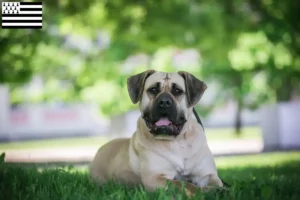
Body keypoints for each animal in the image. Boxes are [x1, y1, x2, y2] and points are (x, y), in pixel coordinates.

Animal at [90, 70, 224, 195]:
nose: (164, 102)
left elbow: (216, 184)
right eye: (153, 89)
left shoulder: (207, 174)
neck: (177, 142)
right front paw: (200, 191)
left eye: (177, 91)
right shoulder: (155, 178)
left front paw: (217, 190)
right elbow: (184, 184)